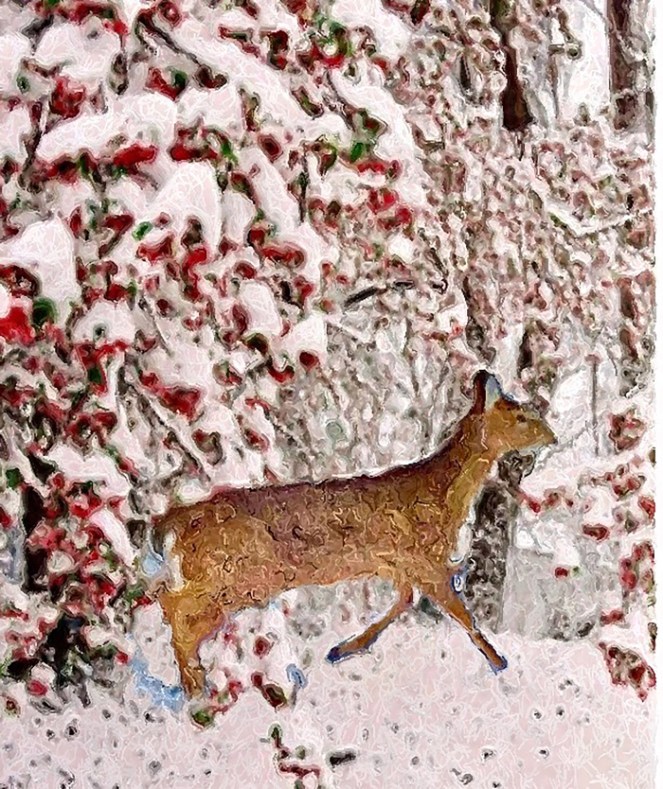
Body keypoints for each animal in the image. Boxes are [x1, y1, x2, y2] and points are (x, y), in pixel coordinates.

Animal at [150, 370, 557, 697]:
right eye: (521, 416)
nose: (551, 435)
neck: (442, 496)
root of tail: (171, 522)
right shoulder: (425, 561)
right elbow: (464, 617)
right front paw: (500, 663)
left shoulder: (400, 565)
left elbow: (402, 603)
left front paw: (343, 650)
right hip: (234, 574)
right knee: (175, 606)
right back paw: (194, 687)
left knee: (171, 602)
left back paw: (193, 682)